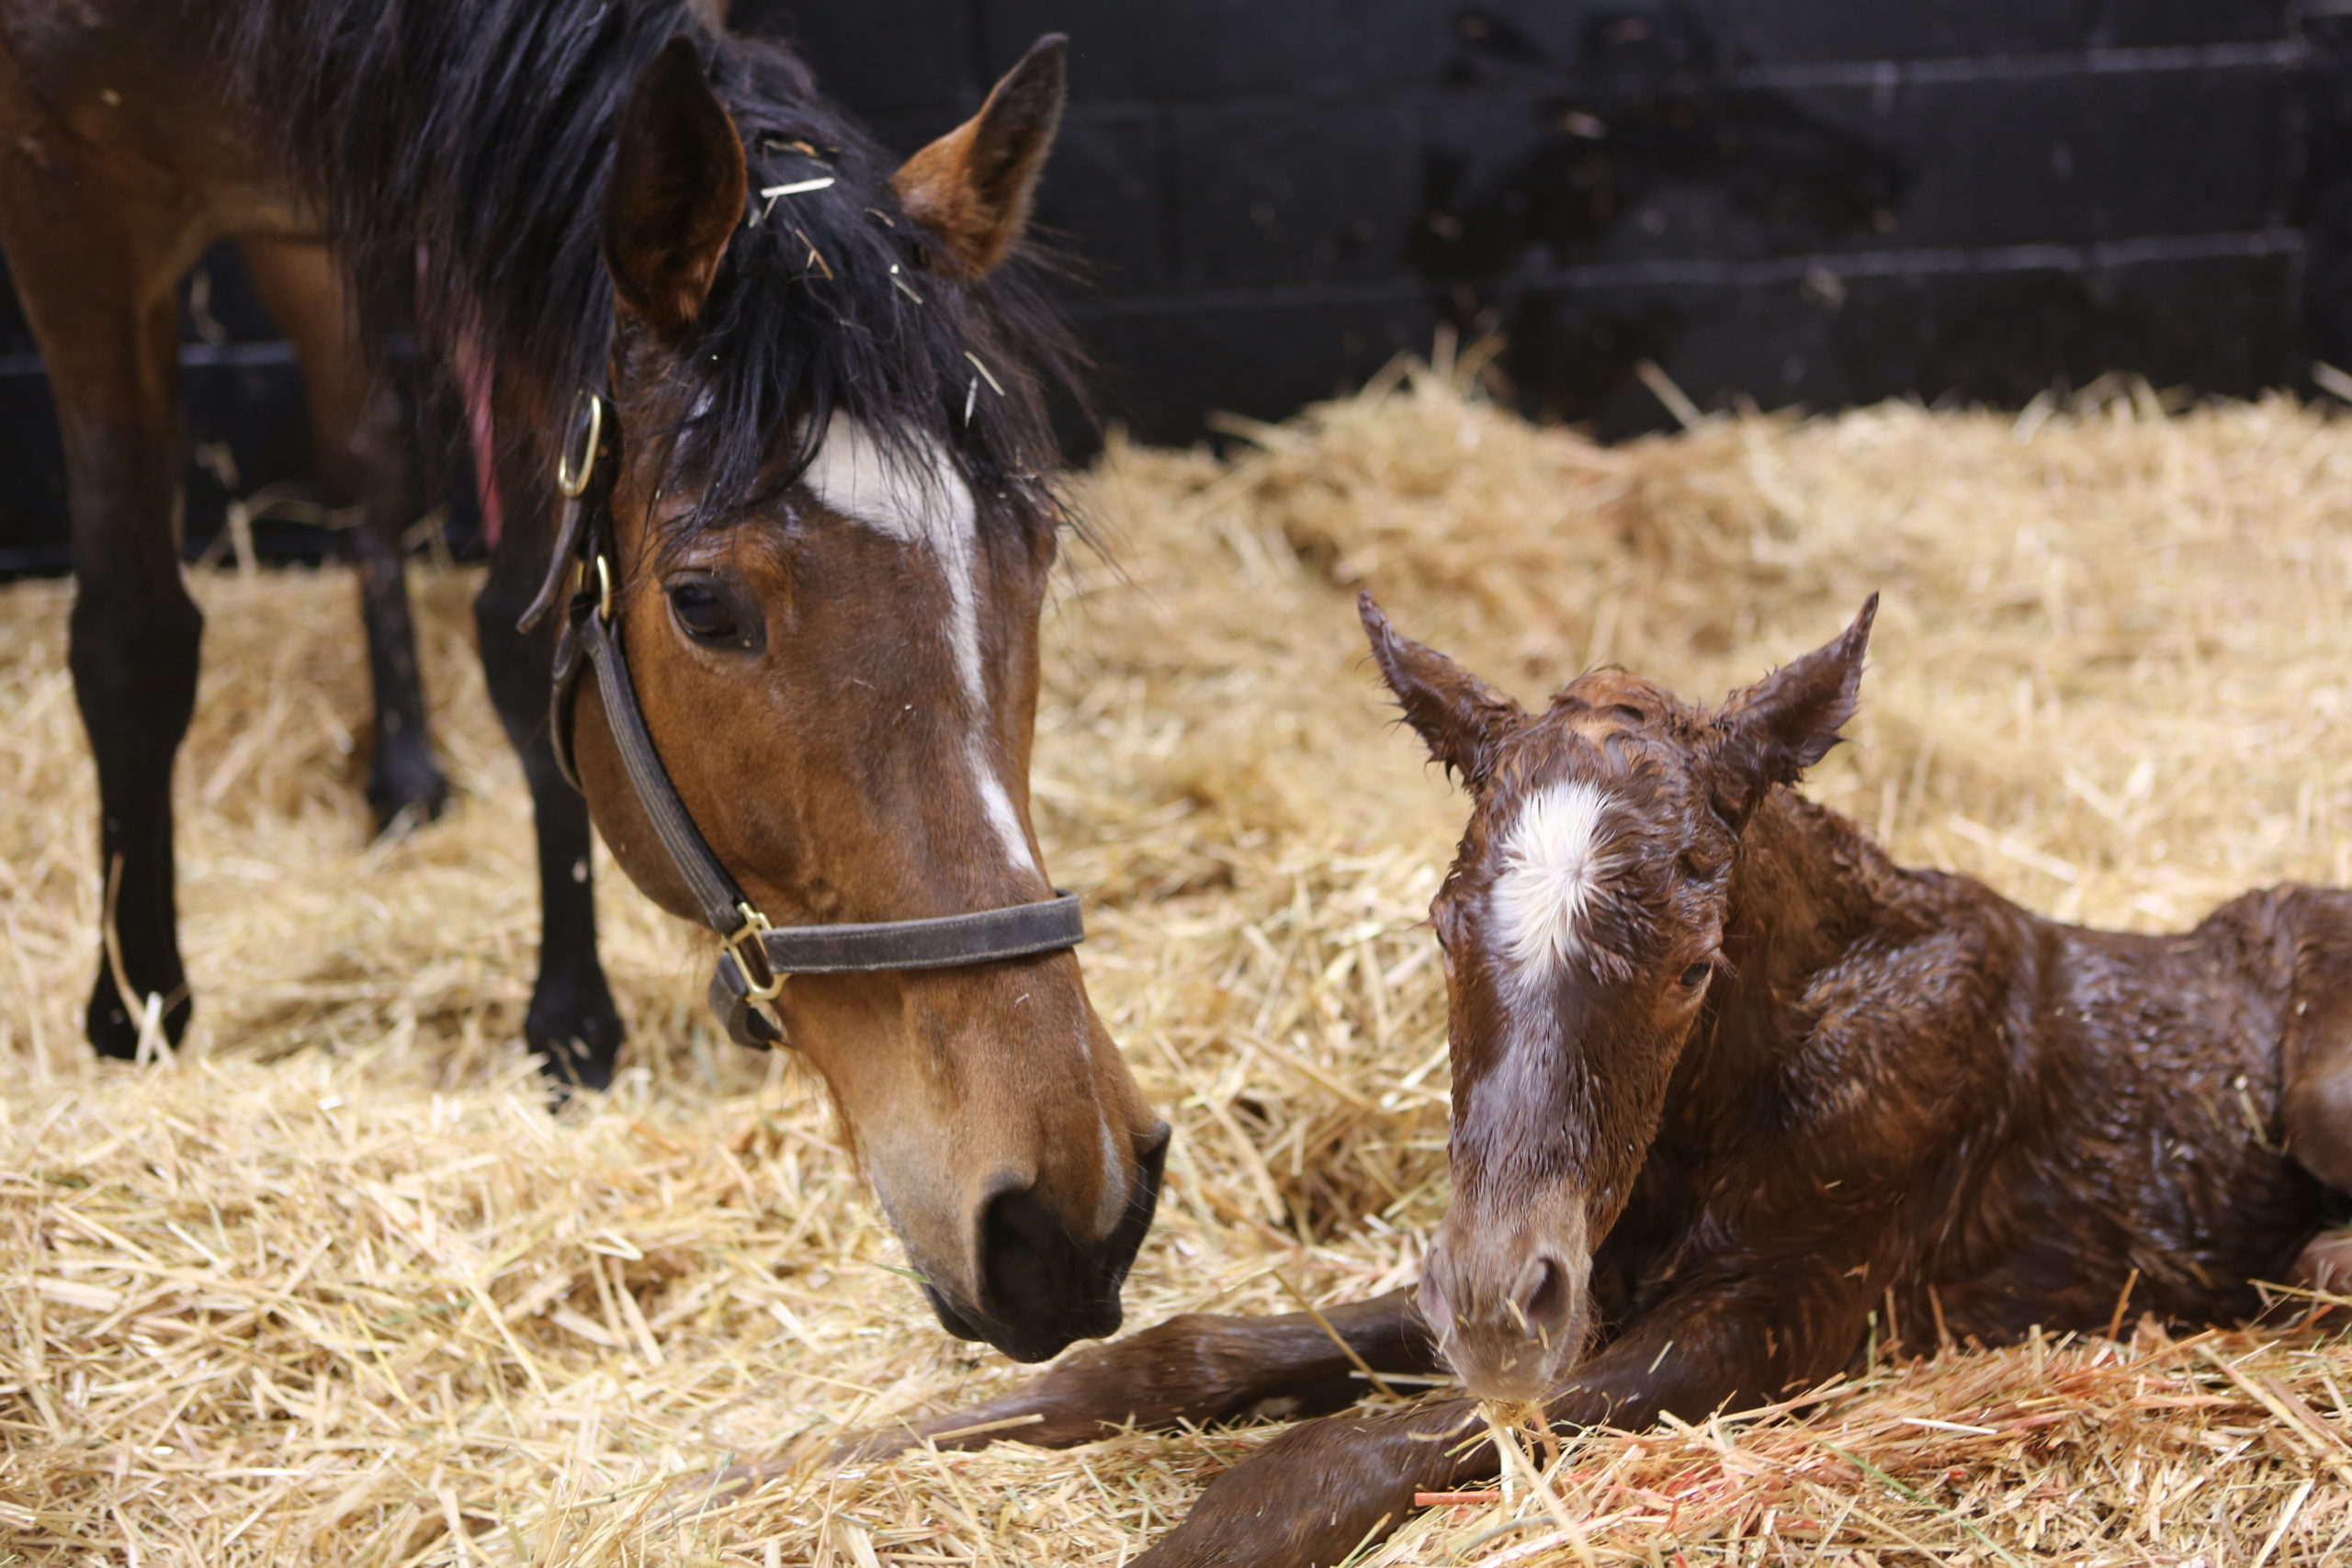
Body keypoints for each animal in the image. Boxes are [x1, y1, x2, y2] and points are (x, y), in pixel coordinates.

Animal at [893, 594, 2352, 1561]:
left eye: (1697, 965)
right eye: (1440, 925)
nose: (1496, 1304)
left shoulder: (1779, 1314)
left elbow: (1332, 1454)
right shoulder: (1585, 1271)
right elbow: (1185, 1352)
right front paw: (866, 1446)